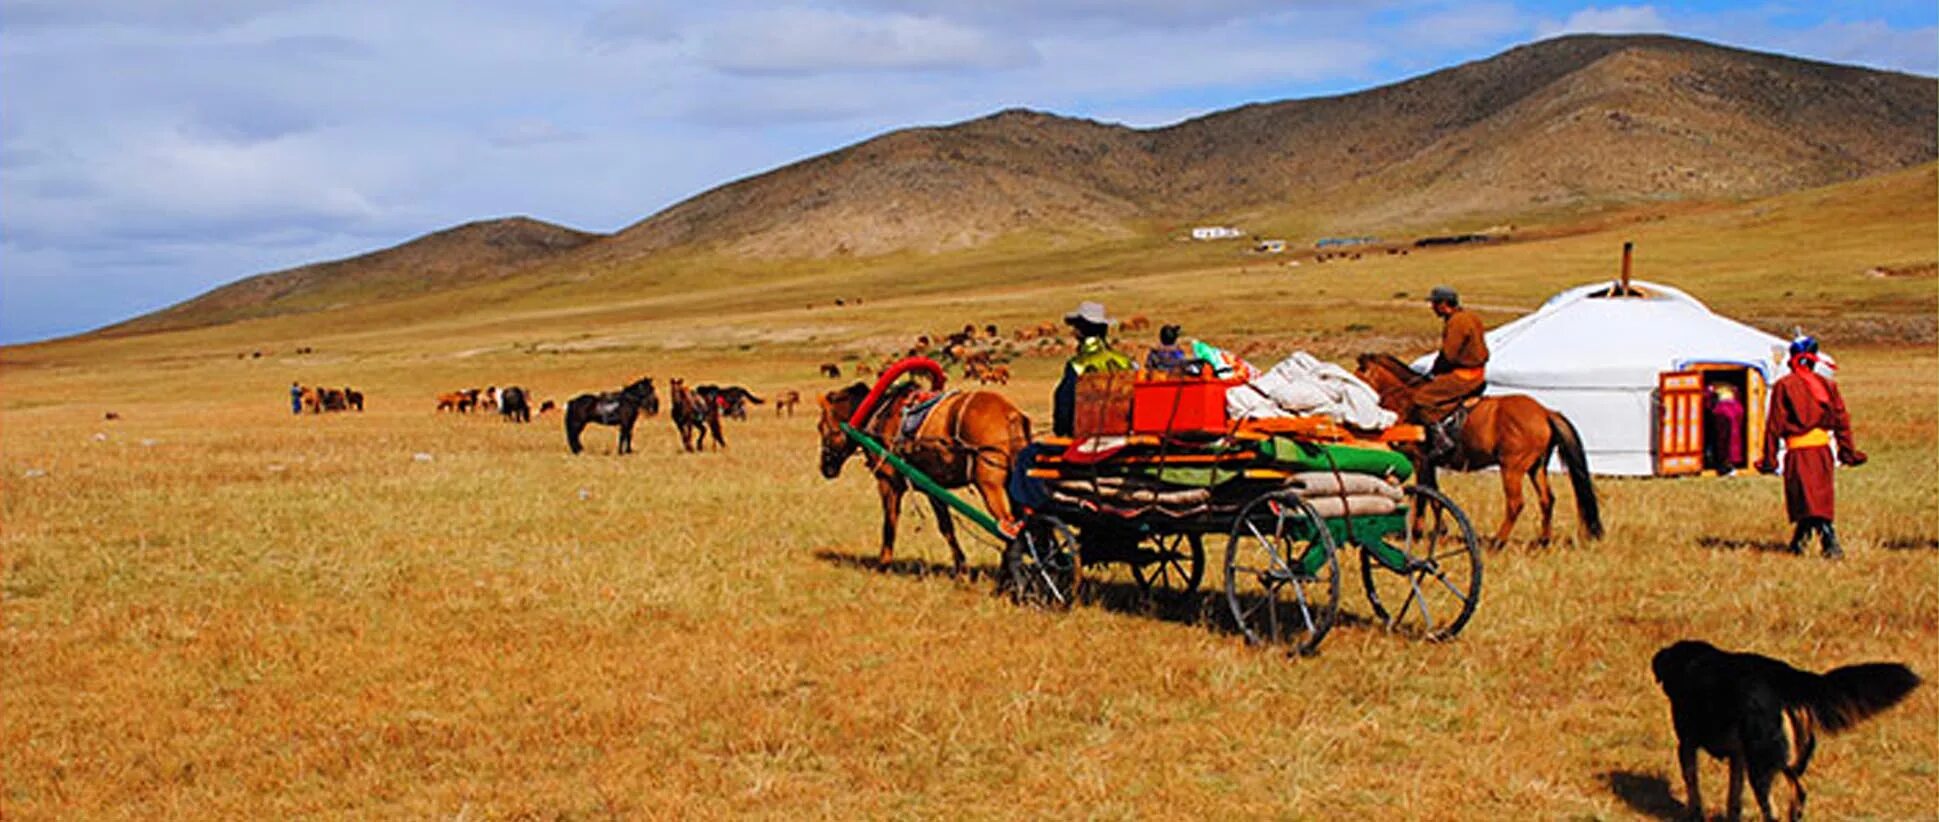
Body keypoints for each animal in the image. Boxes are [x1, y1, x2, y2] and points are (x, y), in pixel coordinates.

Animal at [814, 381, 1031, 573]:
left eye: (821, 426)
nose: (825, 468)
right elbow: (946, 527)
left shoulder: (888, 484)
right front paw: (961, 567)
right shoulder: (933, 488)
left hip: (990, 488)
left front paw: (883, 564)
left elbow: (890, 523)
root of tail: (1010, 413)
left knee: (1009, 528)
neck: (878, 413)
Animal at [1357, 350, 1597, 546]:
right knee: (1547, 499)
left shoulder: (1420, 460)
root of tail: (1545, 412)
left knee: (1515, 503)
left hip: (1512, 468)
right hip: (1536, 467)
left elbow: (1424, 496)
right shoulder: (1430, 463)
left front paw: (1416, 534)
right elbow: (1435, 496)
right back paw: (1543, 541)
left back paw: (1498, 542)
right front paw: (1440, 531)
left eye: (1359, 376)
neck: (1406, 403)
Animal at [1652, 643, 1923, 822]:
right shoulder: (1738, 756)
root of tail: (1785, 676)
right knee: (1797, 795)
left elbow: (1693, 787)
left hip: (1763, 762)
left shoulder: (1687, 743)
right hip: (1784, 759)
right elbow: (1734, 797)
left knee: (1774, 809)